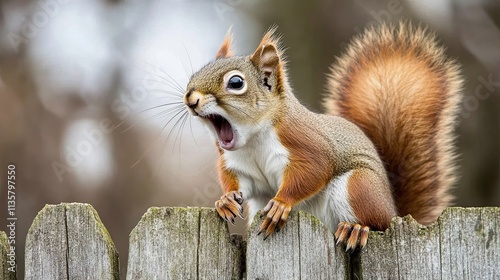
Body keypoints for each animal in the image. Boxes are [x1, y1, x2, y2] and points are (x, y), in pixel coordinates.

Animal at [183, 22, 460, 249]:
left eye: (236, 83)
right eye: (193, 76)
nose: (190, 98)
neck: (252, 140)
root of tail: (393, 210)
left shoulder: (304, 142)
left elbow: (314, 170)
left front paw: (281, 203)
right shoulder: (236, 164)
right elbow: (239, 183)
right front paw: (226, 200)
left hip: (360, 186)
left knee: (377, 224)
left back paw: (355, 229)